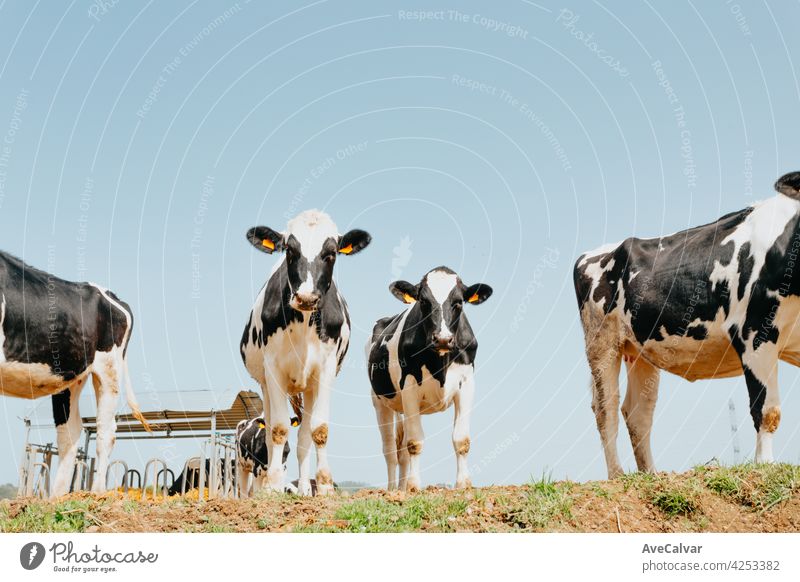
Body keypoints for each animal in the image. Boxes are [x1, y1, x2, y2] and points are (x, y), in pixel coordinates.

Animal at [0, 251, 148, 498]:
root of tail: (113, 297)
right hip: (69, 377)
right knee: (70, 431)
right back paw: (57, 498)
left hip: (108, 368)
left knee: (105, 430)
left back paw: (96, 493)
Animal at [239, 210, 374, 498]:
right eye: (290, 250)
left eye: (331, 253)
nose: (306, 297)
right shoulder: (273, 371)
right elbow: (278, 429)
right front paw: (274, 485)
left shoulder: (325, 370)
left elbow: (319, 430)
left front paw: (323, 486)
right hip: (266, 385)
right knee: (271, 428)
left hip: (309, 387)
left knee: (303, 438)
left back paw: (303, 489)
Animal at [366, 268, 490, 492]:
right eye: (423, 301)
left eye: (458, 302)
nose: (442, 339)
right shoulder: (409, 386)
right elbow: (415, 442)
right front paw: (414, 486)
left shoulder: (467, 383)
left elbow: (461, 439)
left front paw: (463, 483)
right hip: (380, 402)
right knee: (390, 451)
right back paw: (393, 489)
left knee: (402, 452)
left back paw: (401, 487)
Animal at [576, 172, 800, 480]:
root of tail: (594, 252)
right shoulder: (753, 333)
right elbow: (766, 411)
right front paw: (765, 466)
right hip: (602, 342)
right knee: (605, 407)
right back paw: (617, 475)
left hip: (640, 349)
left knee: (637, 413)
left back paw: (651, 475)